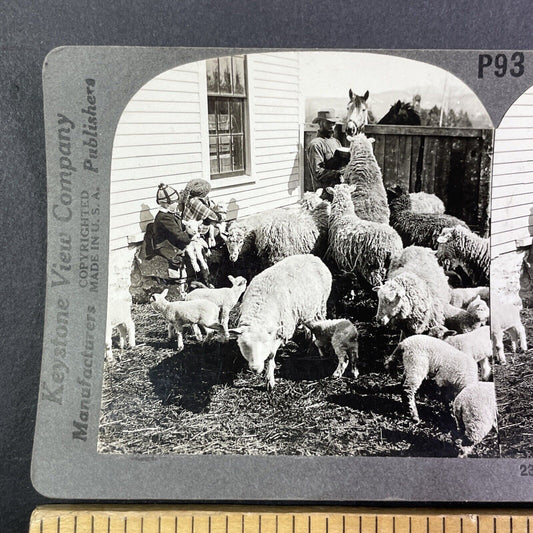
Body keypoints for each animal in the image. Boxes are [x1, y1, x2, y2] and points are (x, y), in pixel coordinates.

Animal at [230, 254, 330, 386]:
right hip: (307, 308)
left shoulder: (282, 331)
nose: (255, 369)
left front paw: (269, 379)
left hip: (321, 305)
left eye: (265, 344)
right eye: (245, 345)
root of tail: (312, 256)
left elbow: (271, 355)